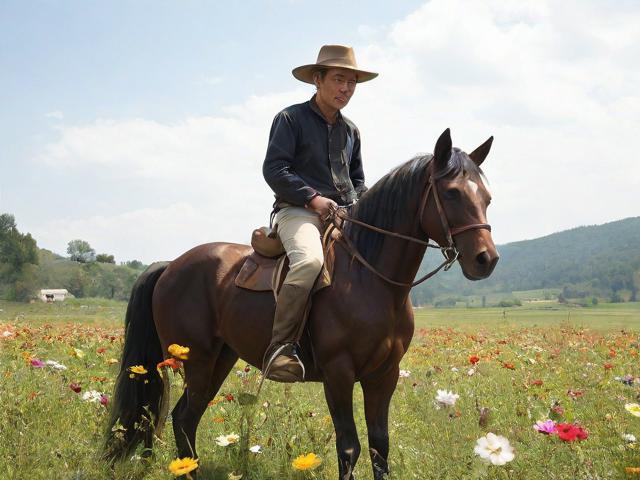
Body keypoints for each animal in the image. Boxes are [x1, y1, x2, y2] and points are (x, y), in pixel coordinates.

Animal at [104, 128, 499, 479]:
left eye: (487, 197)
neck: (370, 279)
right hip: (196, 360)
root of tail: (171, 265)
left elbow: (379, 446)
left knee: (187, 417)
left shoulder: (383, 375)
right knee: (182, 418)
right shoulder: (339, 374)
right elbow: (349, 447)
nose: (486, 259)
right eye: (451, 193)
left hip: (219, 359)